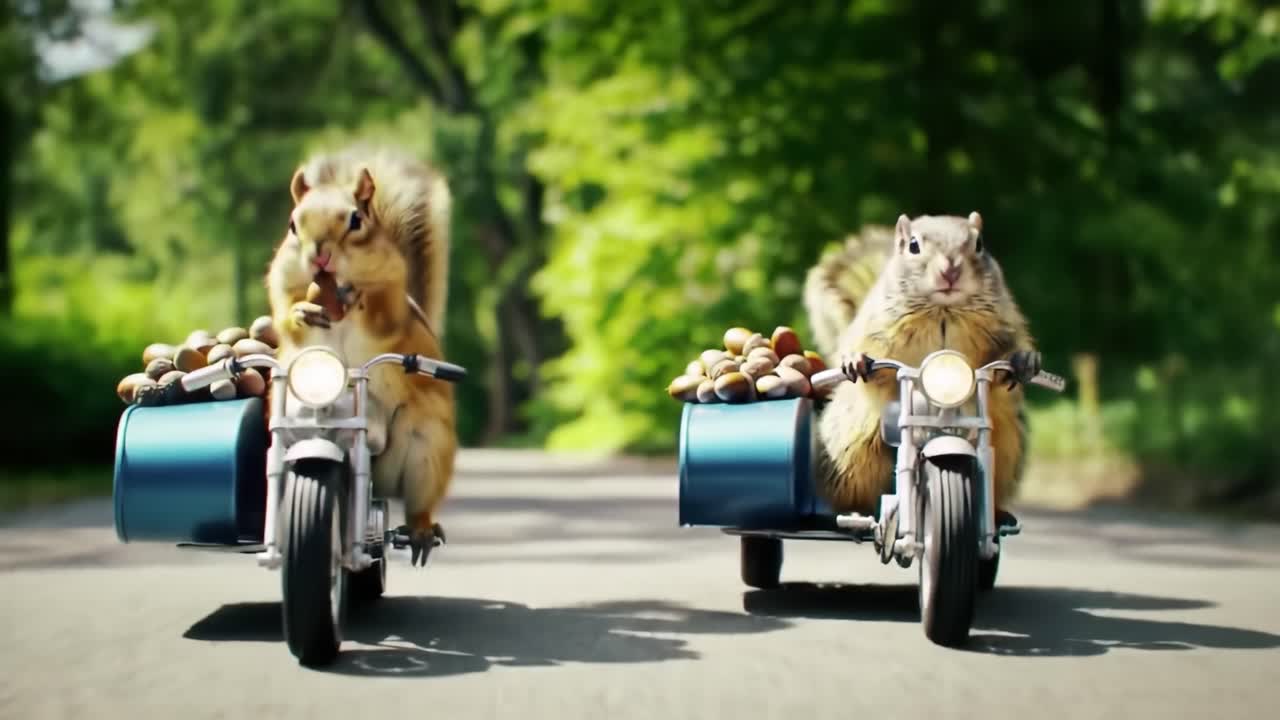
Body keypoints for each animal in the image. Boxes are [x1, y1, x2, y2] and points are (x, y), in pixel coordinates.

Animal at [265, 145, 456, 566]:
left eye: (356, 220)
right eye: (291, 225)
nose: (320, 257)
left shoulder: (395, 302)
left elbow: (383, 314)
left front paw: (357, 297)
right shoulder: (281, 281)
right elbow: (285, 319)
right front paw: (303, 311)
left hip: (425, 451)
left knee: (415, 506)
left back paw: (420, 531)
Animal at [803, 211, 1041, 525]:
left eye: (979, 243)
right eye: (913, 245)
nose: (950, 271)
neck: (943, 311)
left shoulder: (1005, 324)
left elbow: (1011, 350)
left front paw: (1024, 360)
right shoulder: (873, 324)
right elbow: (863, 349)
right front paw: (855, 360)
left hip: (1007, 446)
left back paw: (998, 515)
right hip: (852, 447)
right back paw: (856, 511)